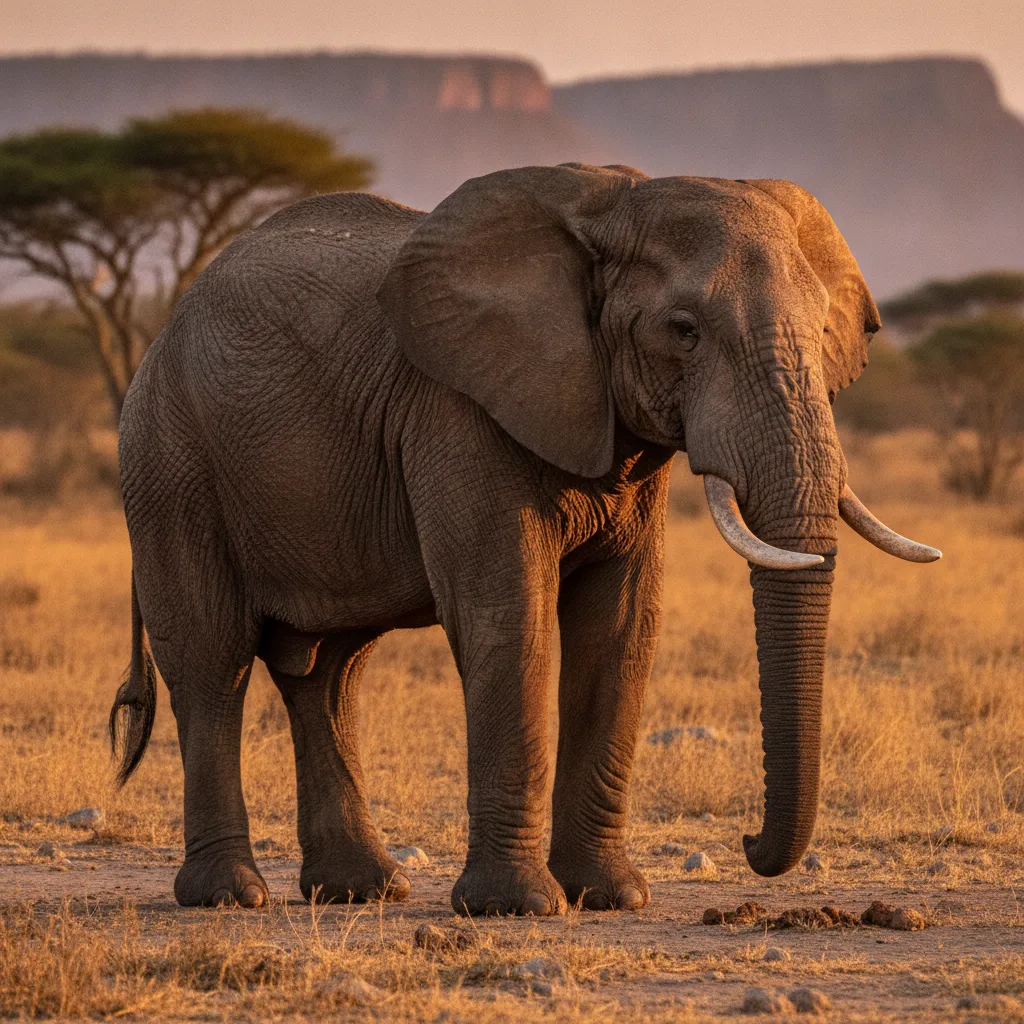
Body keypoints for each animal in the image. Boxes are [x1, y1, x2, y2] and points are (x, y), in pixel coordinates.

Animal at [110, 162, 940, 915]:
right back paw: (229, 897)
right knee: (213, 661)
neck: (615, 205)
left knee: (328, 671)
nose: (746, 845)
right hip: (170, 464)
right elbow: (510, 618)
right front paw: (519, 906)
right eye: (684, 331)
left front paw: (610, 897)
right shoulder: (458, 412)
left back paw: (362, 890)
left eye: (825, 331)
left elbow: (621, 626)